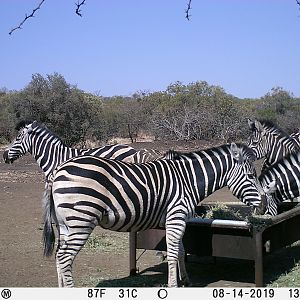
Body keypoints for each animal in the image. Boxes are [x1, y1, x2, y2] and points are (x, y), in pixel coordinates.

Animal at [43, 142, 264, 288]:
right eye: (251, 176)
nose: (264, 204)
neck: (188, 180)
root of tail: (58, 170)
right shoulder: (176, 216)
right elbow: (173, 253)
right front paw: (173, 285)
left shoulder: (177, 219)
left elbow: (181, 251)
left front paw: (186, 280)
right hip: (81, 220)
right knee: (64, 257)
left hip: (65, 224)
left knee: (59, 256)